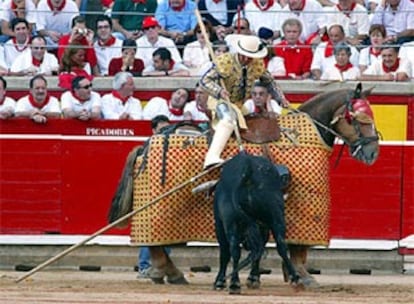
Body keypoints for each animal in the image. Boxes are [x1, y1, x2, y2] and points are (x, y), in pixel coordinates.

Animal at [213, 152, 298, 294]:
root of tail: (249, 171)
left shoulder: (220, 223)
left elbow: (225, 252)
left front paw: (220, 281)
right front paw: (253, 278)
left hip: (233, 222)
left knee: (235, 249)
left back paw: (235, 283)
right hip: (276, 217)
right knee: (280, 244)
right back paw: (295, 278)